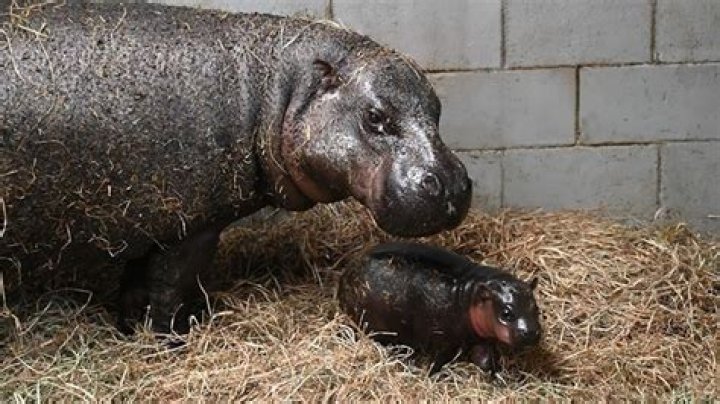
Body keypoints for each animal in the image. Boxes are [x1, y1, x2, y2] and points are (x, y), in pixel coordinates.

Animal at [0, 3, 471, 333]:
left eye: (438, 108)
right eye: (374, 117)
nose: (451, 184)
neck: (275, 92)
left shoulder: (147, 222)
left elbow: (135, 287)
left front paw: (130, 330)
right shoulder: (189, 226)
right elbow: (168, 290)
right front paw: (172, 339)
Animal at [338, 242, 541, 375]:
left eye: (536, 307)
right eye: (506, 313)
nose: (531, 332)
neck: (471, 295)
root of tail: (347, 269)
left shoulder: (480, 338)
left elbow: (484, 359)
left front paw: (496, 373)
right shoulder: (446, 341)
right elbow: (439, 361)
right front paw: (430, 375)